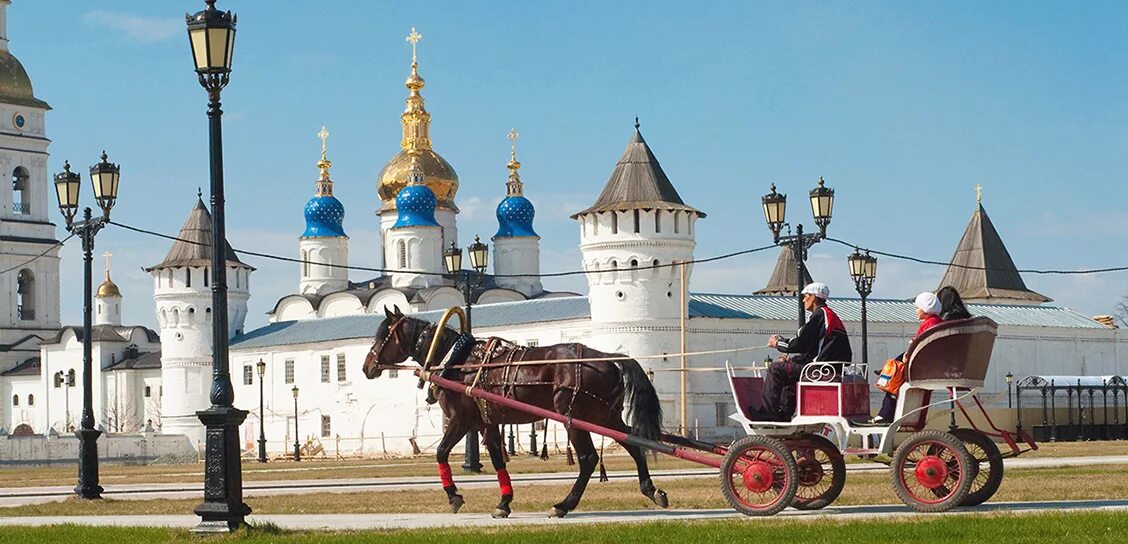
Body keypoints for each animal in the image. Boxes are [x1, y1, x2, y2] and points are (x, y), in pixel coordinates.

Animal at [363, 306, 667, 519]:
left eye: (381, 336)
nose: (367, 366)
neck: (457, 361)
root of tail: (606, 357)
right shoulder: (486, 422)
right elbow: (499, 459)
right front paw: (504, 502)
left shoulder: (462, 419)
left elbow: (441, 452)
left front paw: (454, 496)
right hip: (604, 416)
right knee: (633, 443)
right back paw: (651, 489)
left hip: (574, 418)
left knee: (588, 458)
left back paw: (563, 505)